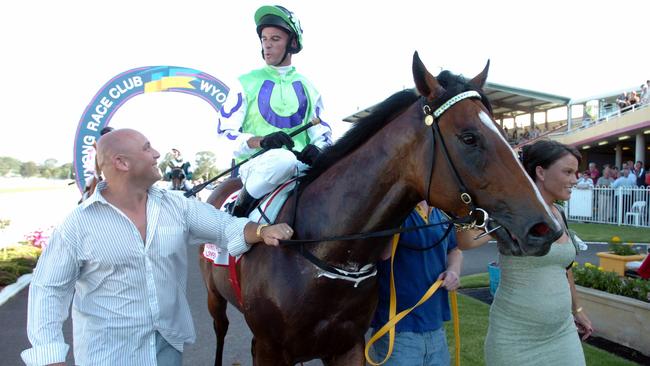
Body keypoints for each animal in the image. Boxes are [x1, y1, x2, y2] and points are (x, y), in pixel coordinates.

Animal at [200, 52, 560, 366]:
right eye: (469, 137)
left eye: (503, 132)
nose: (546, 228)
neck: (321, 250)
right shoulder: (270, 349)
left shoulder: (347, 346)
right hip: (214, 300)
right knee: (219, 332)